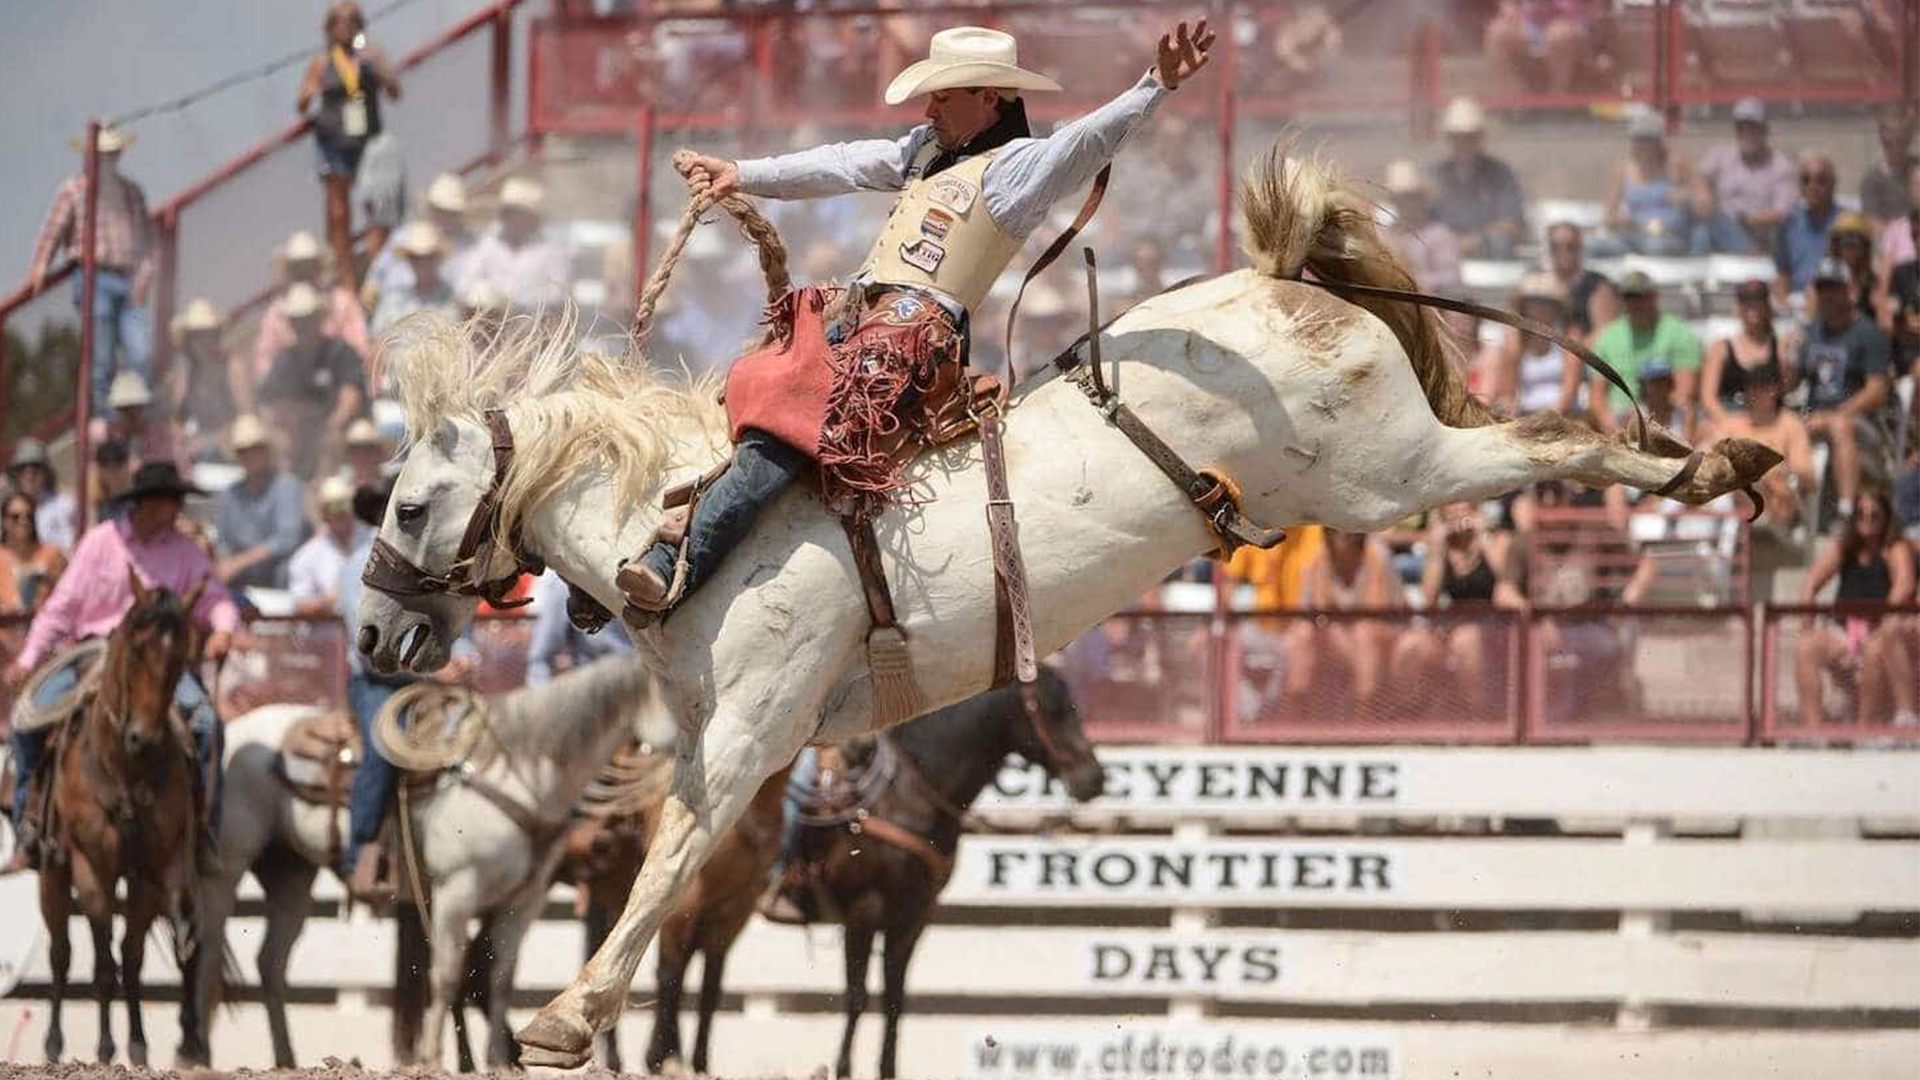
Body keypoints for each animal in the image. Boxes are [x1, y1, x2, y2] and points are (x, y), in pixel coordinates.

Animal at [36, 568, 207, 1060]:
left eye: (182, 654)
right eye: (135, 647)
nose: (143, 738)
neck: (125, 771)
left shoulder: (153, 870)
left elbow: (132, 959)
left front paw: (138, 1045)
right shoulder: (93, 870)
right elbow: (103, 965)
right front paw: (106, 1046)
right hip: (53, 874)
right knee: (61, 953)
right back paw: (53, 1043)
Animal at [560, 749, 791, 1068]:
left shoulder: (734, 908)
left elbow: (710, 986)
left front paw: (697, 1064)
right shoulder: (684, 902)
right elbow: (671, 974)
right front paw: (663, 1058)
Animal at [791, 668, 1098, 1068]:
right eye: (1054, 708)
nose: (1095, 778)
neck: (906, 795)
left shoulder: (913, 917)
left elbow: (894, 1000)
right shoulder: (863, 912)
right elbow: (857, 997)